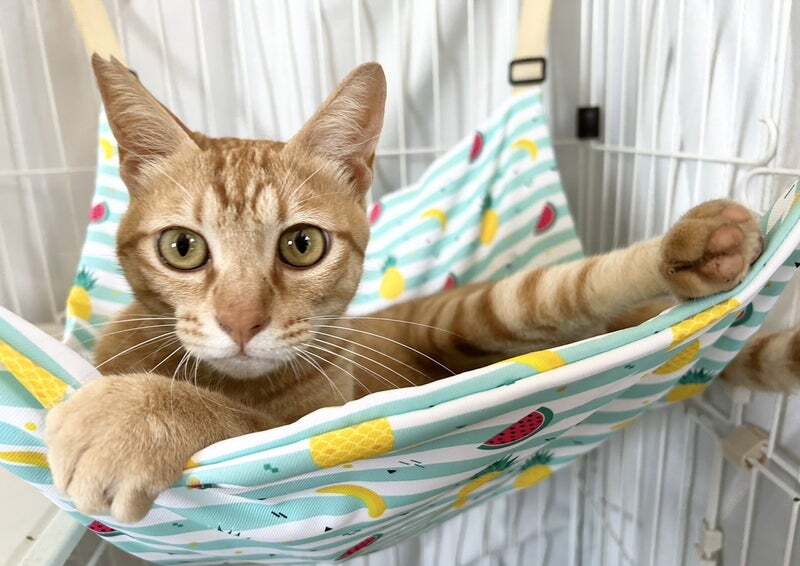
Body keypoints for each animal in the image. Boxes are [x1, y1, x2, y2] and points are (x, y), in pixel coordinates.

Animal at [45, 55, 797, 525]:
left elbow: (232, 418)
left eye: (301, 245)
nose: (241, 321)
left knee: (571, 287)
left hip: (483, 309)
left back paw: (692, 248)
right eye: (183, 248)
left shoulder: (305, 422)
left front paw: (131, 418)